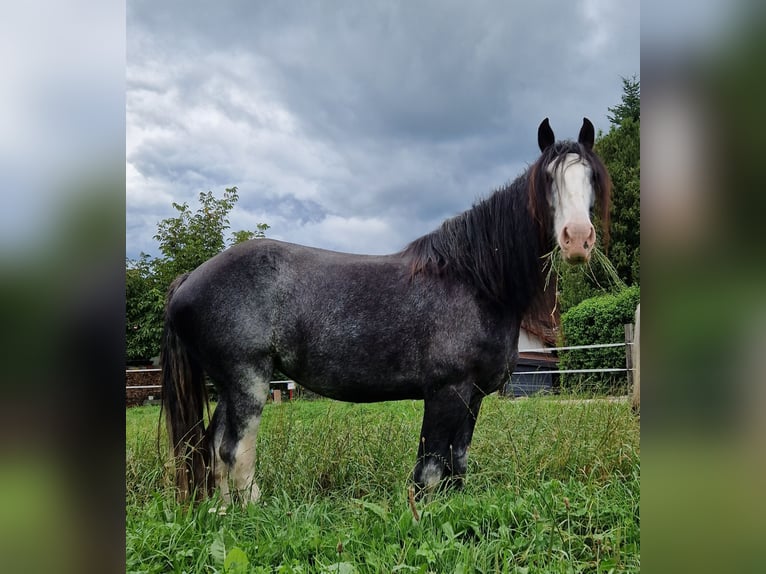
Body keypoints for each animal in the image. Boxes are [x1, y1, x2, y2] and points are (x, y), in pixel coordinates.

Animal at [160, 118, 612, 504]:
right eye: (548, 179)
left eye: (590, 177)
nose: (577, 239)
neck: (475, 281)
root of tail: (190, 279)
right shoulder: (446, 391)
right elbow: (430, 470)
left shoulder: (473, 397)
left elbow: (457, 464)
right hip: (247, 381)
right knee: (234, 450)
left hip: (230, 386)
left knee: (213, 449)